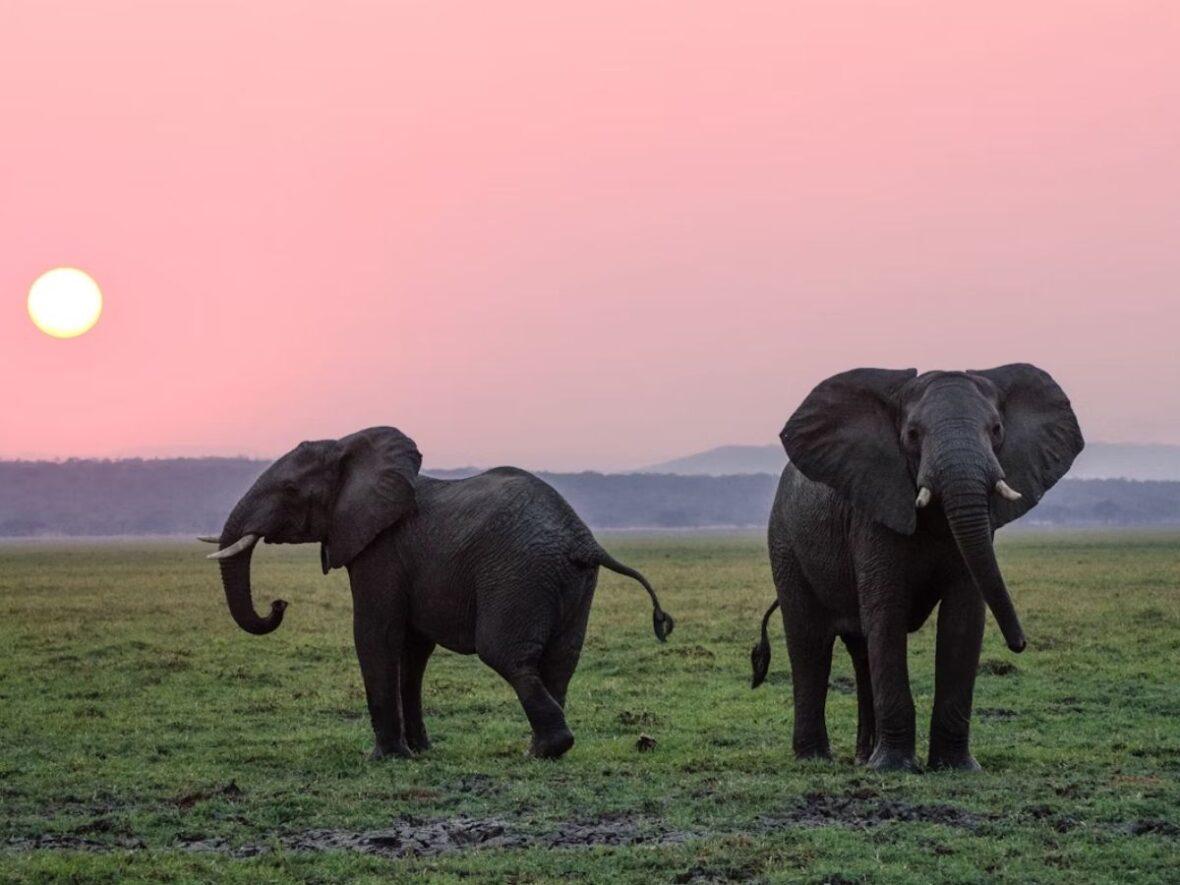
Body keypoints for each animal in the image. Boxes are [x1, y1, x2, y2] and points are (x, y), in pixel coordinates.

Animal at [202, 426, 673, 760]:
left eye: (289, 491)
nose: (278, 603)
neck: (348, 446)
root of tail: (583, 539)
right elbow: (413, 651)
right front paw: (421, 751)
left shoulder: (381, 549)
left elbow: (375, 633)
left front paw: (385, 757)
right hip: (572, 581)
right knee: (561, 660)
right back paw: (543, 750)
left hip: (519, 574)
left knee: (505, 654)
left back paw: (543, 750)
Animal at [750, 364, 1083, 772]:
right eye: (912, 435)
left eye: (996, 430)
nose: (1019, 643)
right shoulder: (874, 510)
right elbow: (887, 615)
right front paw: (894, 767)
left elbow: (962, 619)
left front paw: (956, 768)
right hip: (785, 543)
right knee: (810, 642)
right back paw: (815, 760)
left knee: (861, 649)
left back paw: (863, 758)